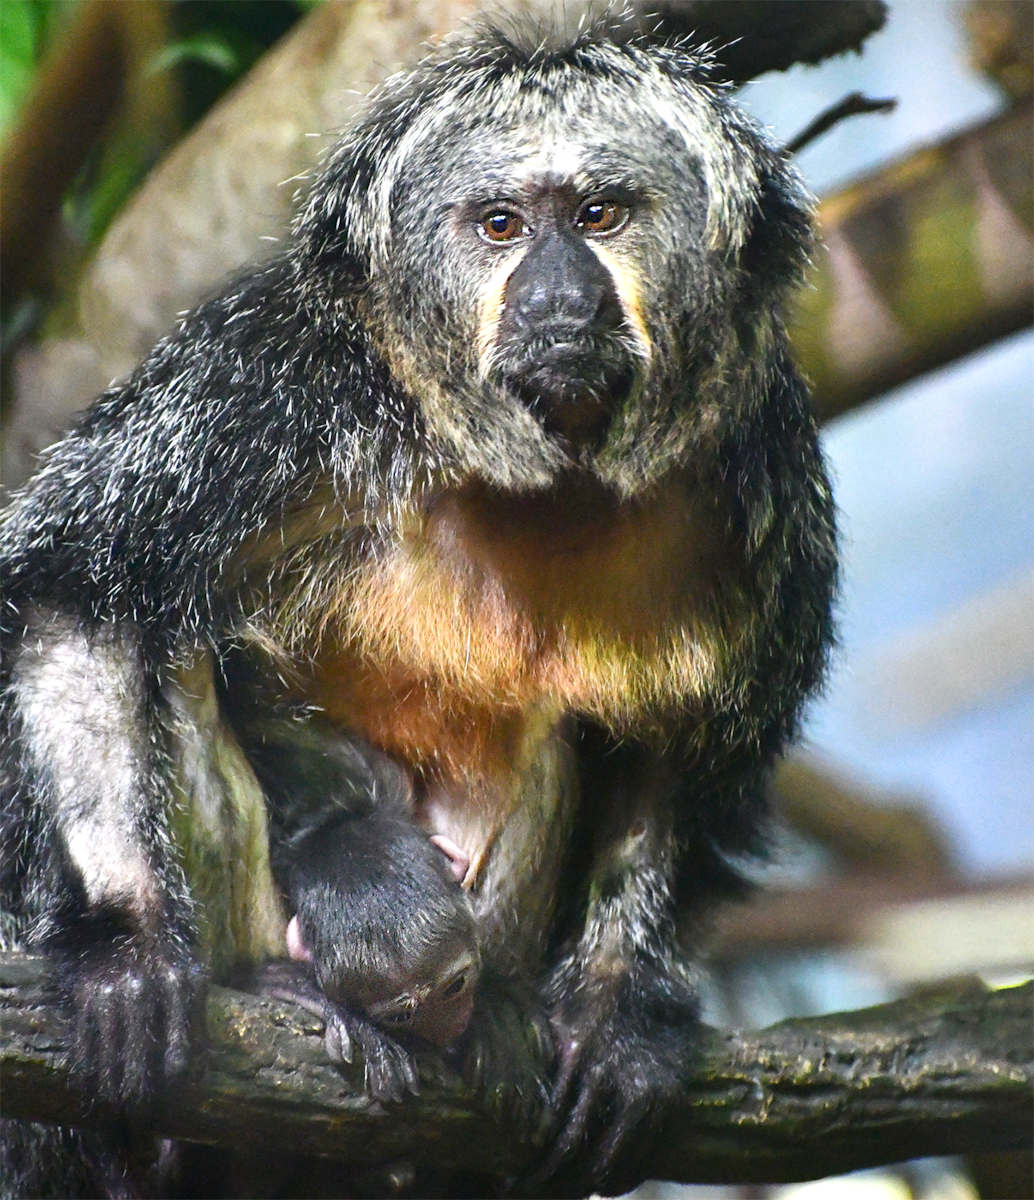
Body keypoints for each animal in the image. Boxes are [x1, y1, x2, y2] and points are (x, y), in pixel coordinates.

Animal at [0, 18, 837, 1197]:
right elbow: (77, 584)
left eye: (599, 215)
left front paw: (619, 1014)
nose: (557, 298)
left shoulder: (760, 462)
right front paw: (123, 949)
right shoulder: (270, 381)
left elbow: (681, 745)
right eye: (499, 225)